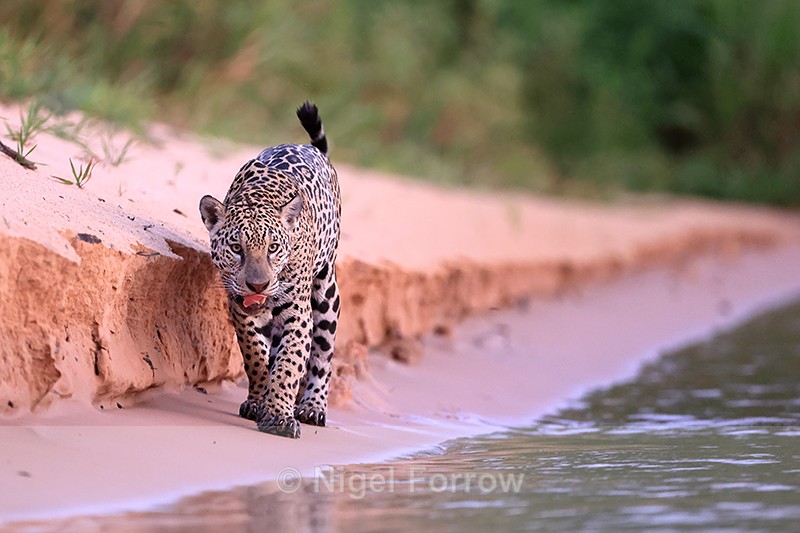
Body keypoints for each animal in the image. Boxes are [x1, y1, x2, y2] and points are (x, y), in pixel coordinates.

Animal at [199, 102, 340, 439]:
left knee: (323, 354)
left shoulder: (297, 313)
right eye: (236, 248)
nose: (258, 285)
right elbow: (255, 356)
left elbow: (290, 364)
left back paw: (312, 406)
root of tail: (311, 148)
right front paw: (260, 399)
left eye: (274, 248)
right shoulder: (239, 307)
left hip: (327, 292)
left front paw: (278, 415)